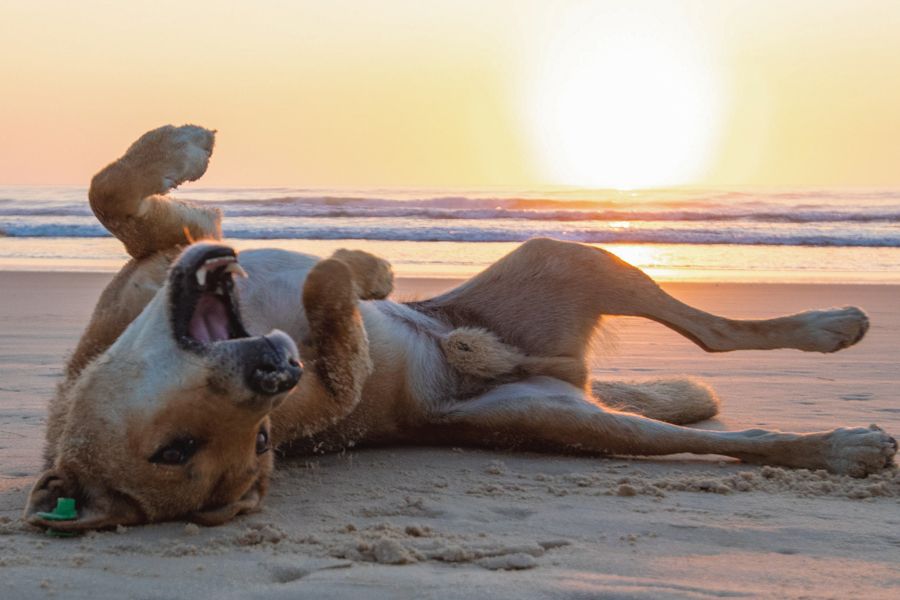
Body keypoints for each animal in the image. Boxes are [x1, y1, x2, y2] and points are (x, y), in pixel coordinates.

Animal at [24, 125, 896, 528]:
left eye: (262, 438)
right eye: (179, 451)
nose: (276, 371)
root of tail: (552, 369)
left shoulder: (160, 260)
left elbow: (114, 194)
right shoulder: (327, 389)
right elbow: (342, 355)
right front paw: (349, 275)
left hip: (564, 258)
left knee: (705, 331)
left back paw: (830, 324)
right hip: (571, 412)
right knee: (725, 423)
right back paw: (839, 442)